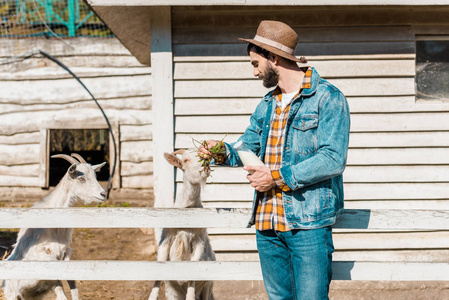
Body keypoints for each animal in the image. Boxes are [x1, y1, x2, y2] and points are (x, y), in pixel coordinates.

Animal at [1, 154, 106, 300]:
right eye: (81, 178)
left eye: (95, 176)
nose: (103, 194)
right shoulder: (41, 254)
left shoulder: (65, 252)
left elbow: (71, 283)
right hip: (12, 293)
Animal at [149, 149, 215, 300]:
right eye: (185, 160)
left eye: (206, 157)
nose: (206, 167)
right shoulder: (165, 240)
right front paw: (152, 296)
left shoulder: (199, 242)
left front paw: (190, 295)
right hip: (173, 292)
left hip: (208, 287)